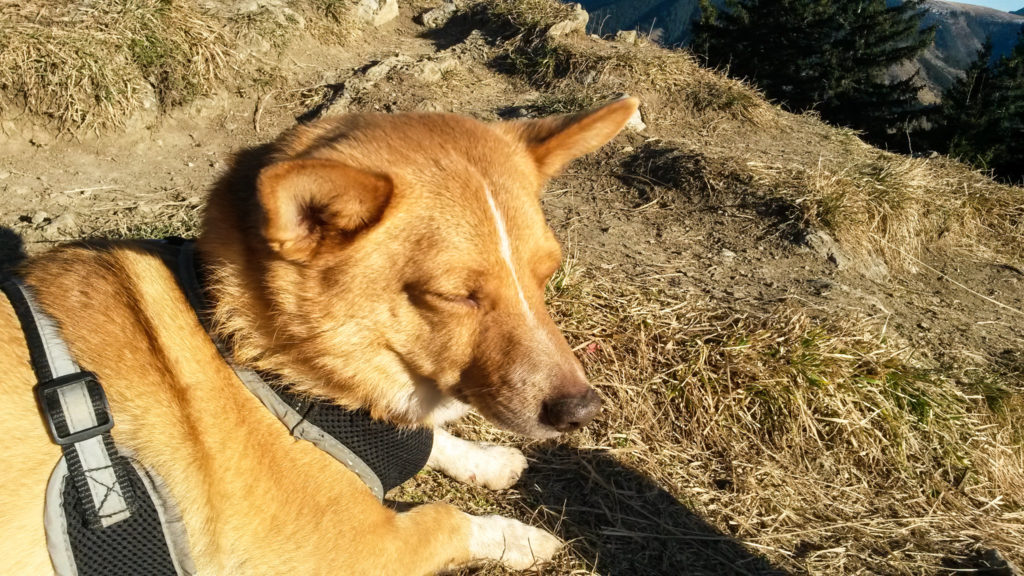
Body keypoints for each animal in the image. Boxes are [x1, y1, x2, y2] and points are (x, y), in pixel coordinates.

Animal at [0, 96, 638, 569]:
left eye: (547, 274)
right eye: (455, 295)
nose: (583, 411)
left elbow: (432, 439)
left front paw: (485, 461)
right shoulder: (357, 551)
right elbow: (444, 518)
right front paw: (516, 538)